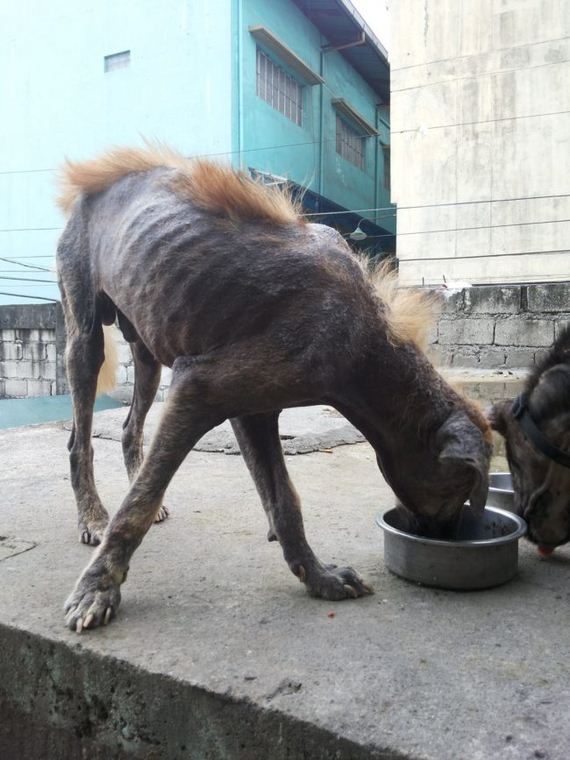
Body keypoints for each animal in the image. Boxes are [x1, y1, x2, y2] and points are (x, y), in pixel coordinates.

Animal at [56, 145, 488, 632]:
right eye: (462, 490)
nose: (449, 538)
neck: (365, 343)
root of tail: (87, 183)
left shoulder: (253, 410)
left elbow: (284, 501)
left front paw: (319, 577)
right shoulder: (199, 388)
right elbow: (138, 506)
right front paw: (98, 588)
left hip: (147, 351)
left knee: (130, 426)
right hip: (85, 338)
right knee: (79, 441)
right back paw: (92, 517)